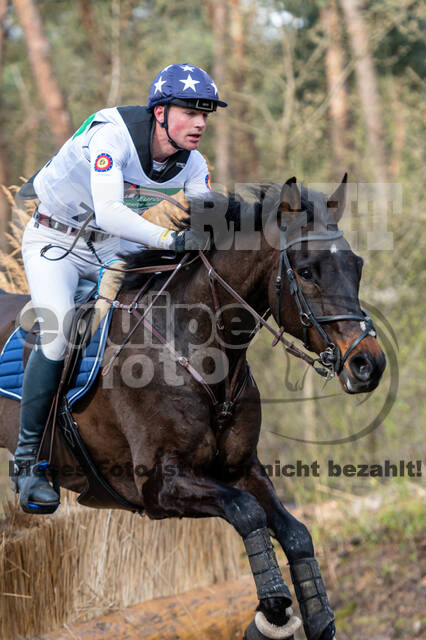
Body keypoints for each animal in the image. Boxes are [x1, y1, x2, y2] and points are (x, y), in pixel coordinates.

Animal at [0, 176, 386, 640]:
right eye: (307, 271)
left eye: (357, 266)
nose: (369, 365)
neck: (195, 344)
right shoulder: (159, 486)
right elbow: (247, 512)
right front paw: (272, 610)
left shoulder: (240, 469)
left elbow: (296, 533)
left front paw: (314, 616)